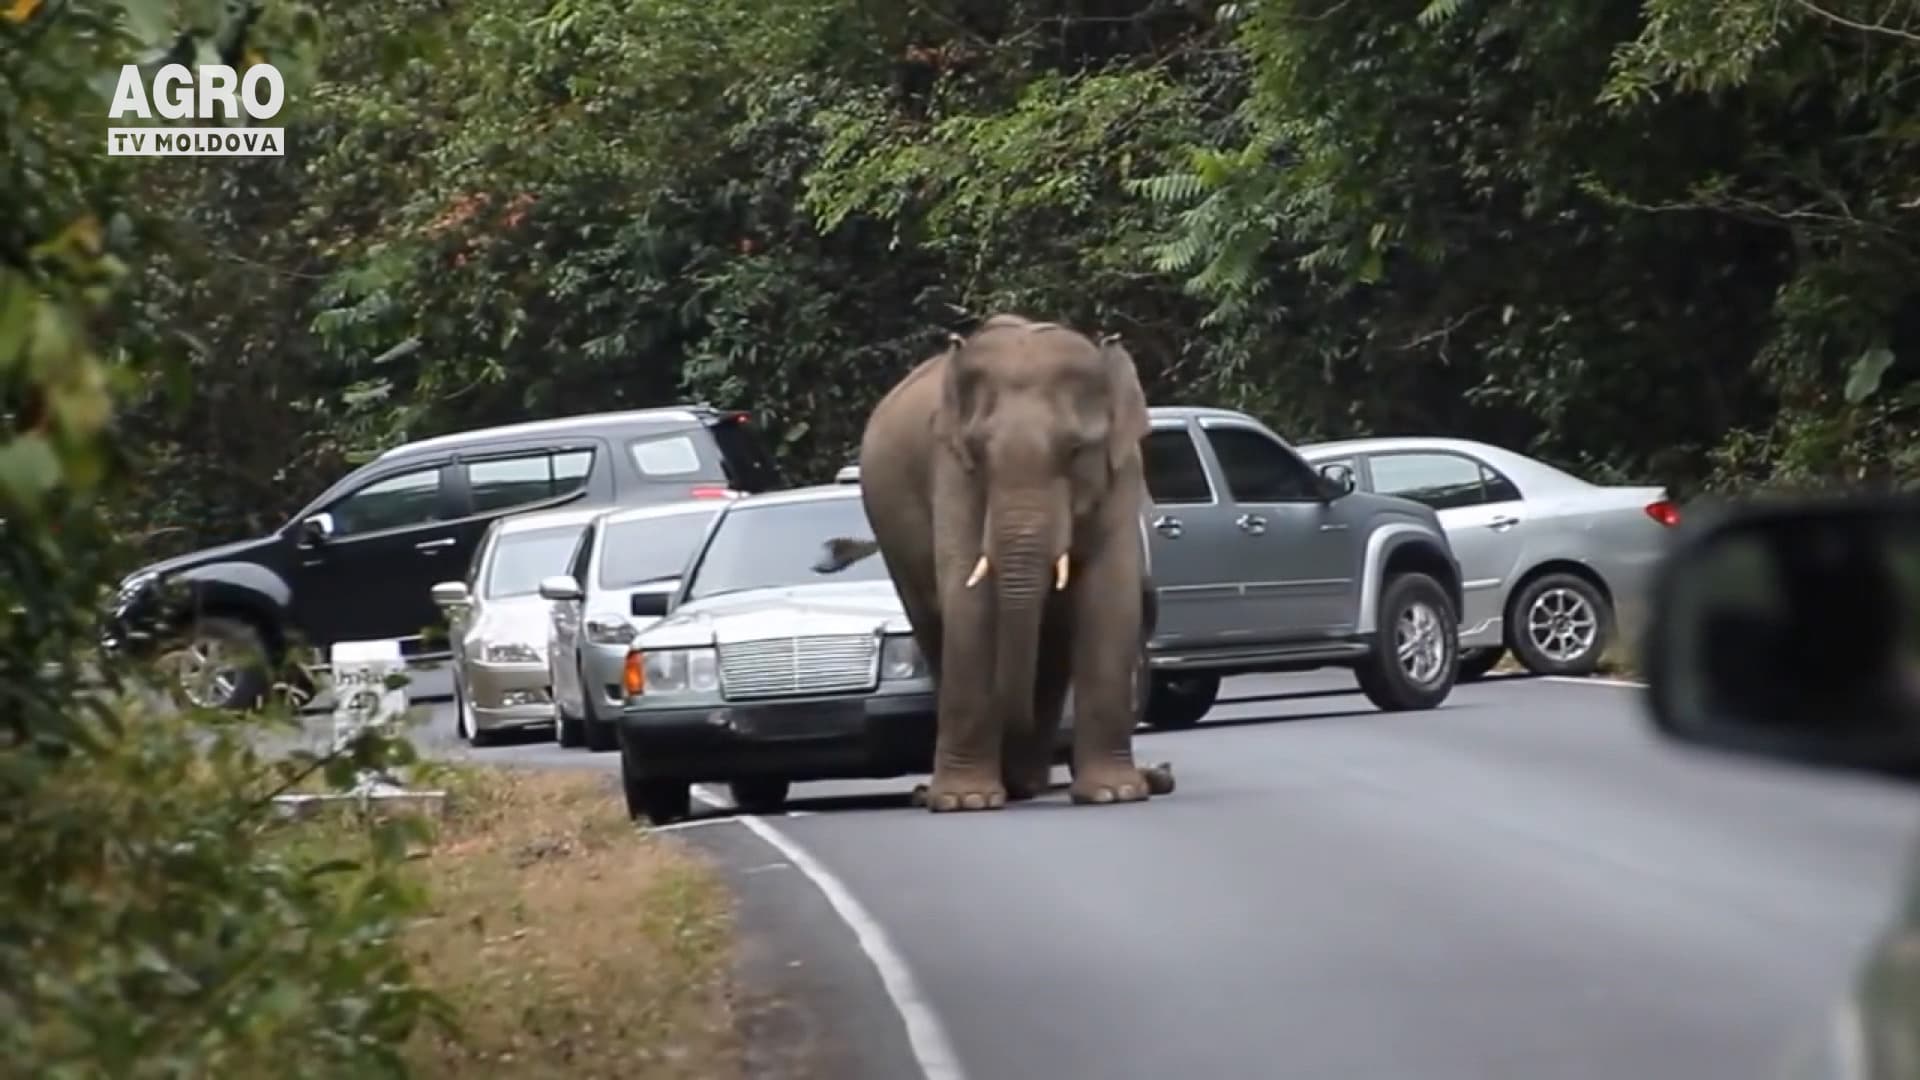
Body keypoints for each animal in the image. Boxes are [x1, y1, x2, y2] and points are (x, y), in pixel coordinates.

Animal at [840, 313, 1176, 812]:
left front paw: (1115, 794)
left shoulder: (1123, 472)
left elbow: (1108, 597)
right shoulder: (951, 468)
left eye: (1075, 450)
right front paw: (966, 802)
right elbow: (970, 598)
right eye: (980, 452)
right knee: (934, 627)